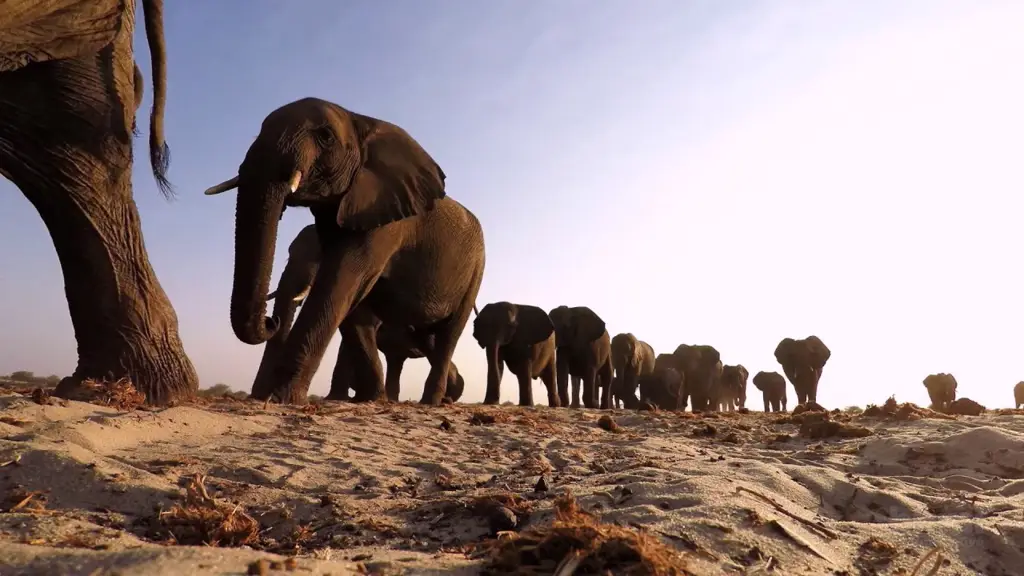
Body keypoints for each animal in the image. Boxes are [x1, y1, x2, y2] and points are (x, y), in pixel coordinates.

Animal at [205, 97, 485, 403]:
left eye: (326, 137)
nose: (271, 320)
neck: (360, 121)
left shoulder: (386, 220)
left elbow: (341, 282)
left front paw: (282, 399)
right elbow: (353, 302)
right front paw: (372, 399)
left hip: (476, 271)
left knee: (449, 335)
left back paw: (431, 402)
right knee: (426, 336)